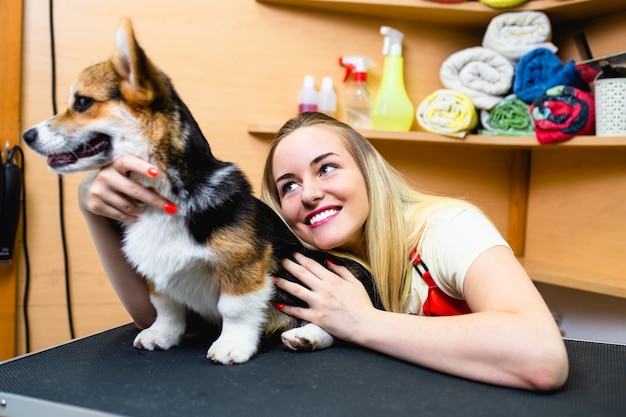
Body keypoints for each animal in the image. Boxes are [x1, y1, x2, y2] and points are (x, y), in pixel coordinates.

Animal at [23, 17, 380, 362]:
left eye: (82, 102)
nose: (27, 136)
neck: (165, 198)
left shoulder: (243, 264)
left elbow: (234, 308)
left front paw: (232, 345)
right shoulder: (157, 275)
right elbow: (165, 307)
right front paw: (161, 335)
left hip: (336, 268)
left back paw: (306, 336)